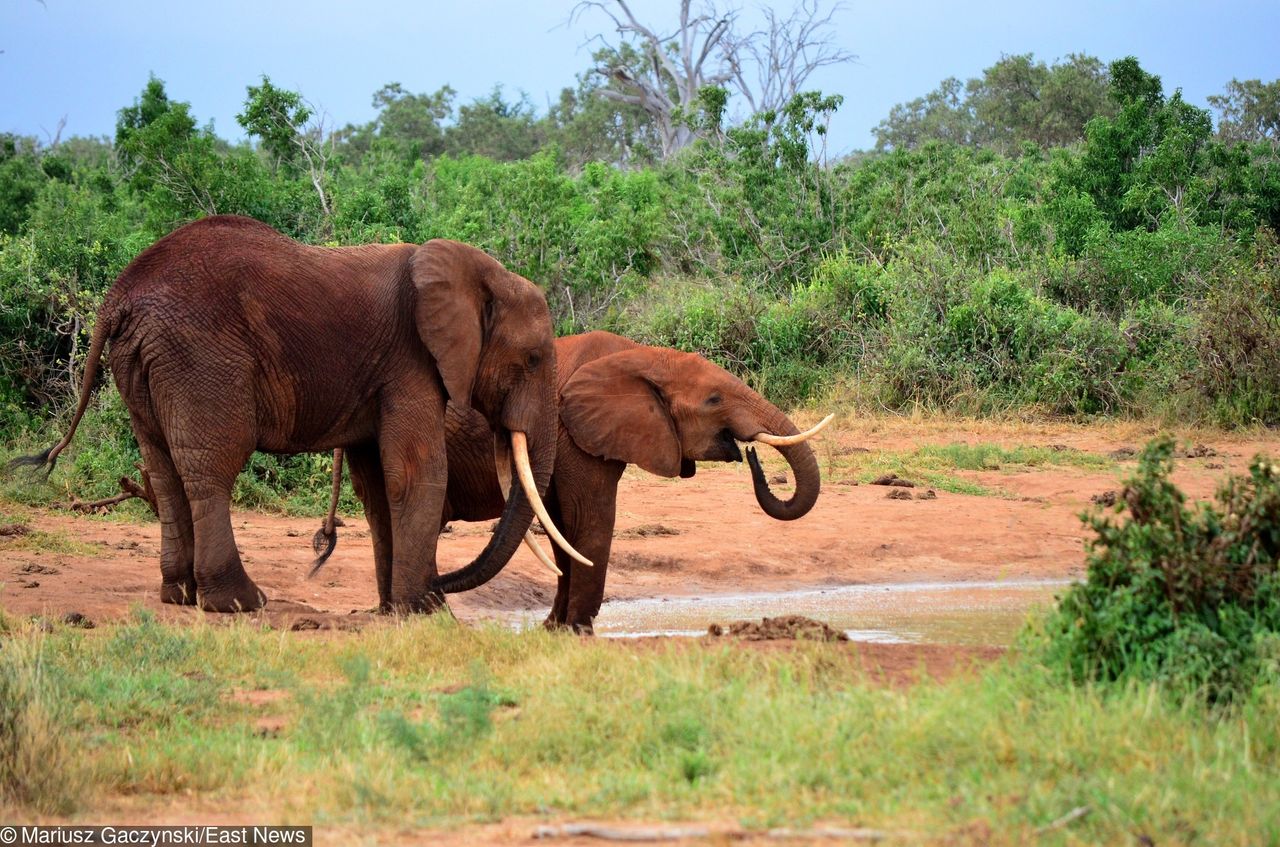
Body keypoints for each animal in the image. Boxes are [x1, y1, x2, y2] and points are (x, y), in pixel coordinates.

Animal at [13, 217, 586, 616]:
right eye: (534, 359)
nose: (440, 586)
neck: (478, 274)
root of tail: (119, 294)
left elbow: (378, 486)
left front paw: (394, 608)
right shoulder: (411, 362)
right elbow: (416, 473)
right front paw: (422, 609)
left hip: (141, 362)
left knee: (163, 467)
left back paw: (179, 595)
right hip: (198, 357)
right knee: (212, 468)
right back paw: (239, 603)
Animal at [309, 335, 829, 634]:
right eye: (714, 399)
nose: (750, 452)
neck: (641, 356)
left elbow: (564, 527)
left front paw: (554, 628)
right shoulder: (573, 431)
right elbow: (587, 520)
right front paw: (578, 630)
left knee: (384, 517)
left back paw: (398, 614)